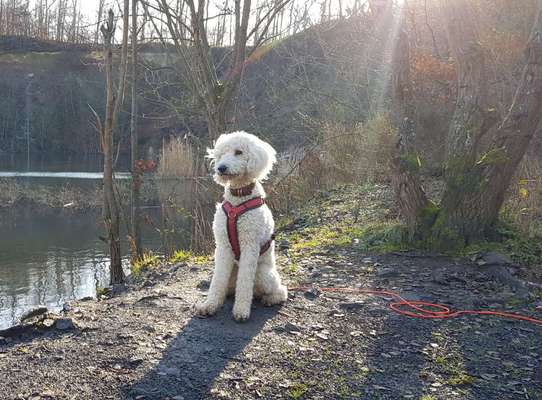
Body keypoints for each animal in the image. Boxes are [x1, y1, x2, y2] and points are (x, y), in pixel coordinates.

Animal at [196, 131, 288, 322]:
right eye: (221, 154)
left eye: (238, 152)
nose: (221, 168)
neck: (239, 198)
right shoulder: (223, 246)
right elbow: (217, 280)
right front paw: (210, 305)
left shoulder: (250, 245)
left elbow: (245, 282)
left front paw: (241, 311)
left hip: (263, 273)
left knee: (281, 290)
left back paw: (270, 298)